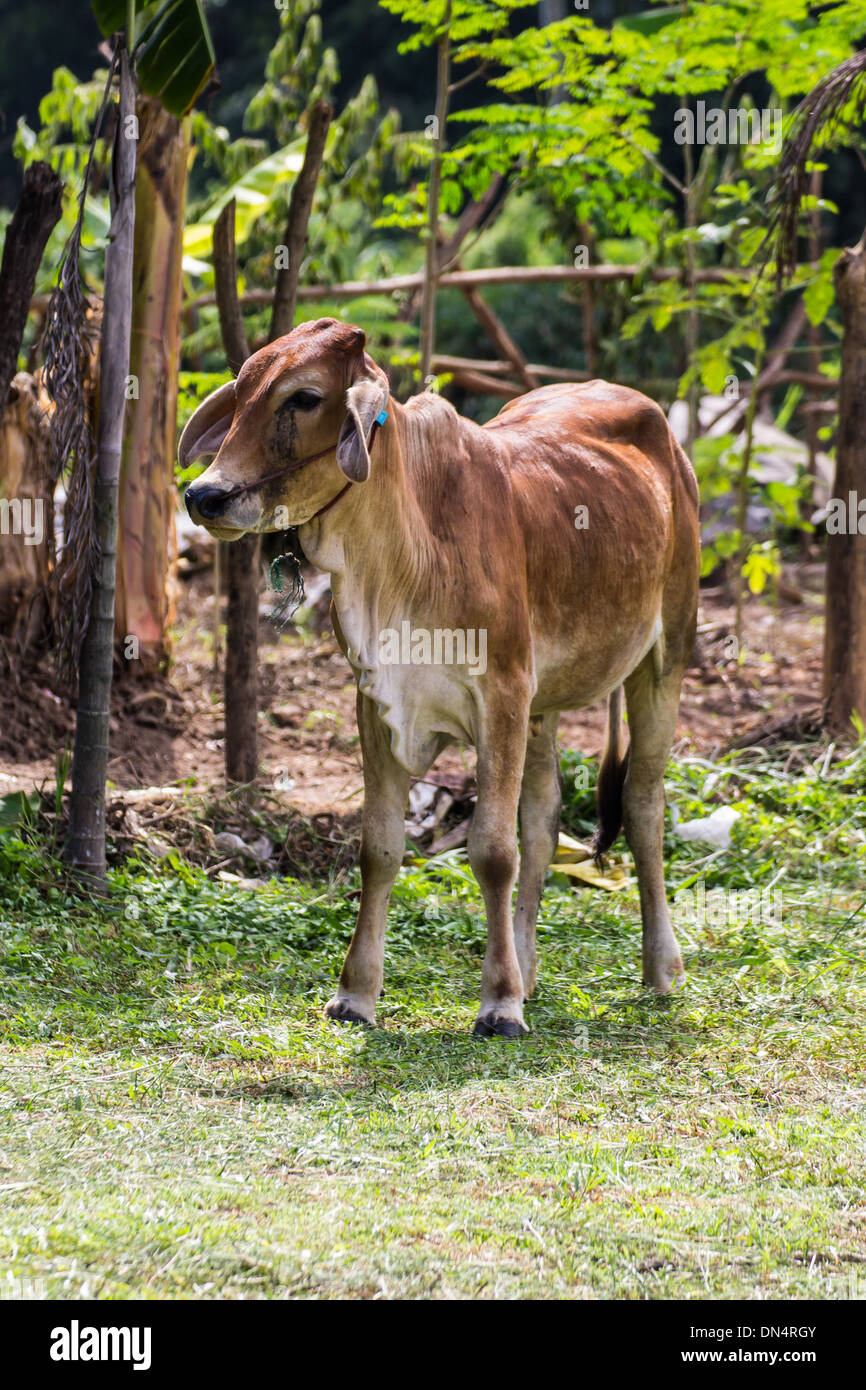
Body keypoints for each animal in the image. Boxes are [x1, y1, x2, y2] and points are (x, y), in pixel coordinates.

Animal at [180, 315, 697, 1034]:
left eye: (304, 397)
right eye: (244, 388)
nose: (205, 494)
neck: (404, 557)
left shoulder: (501, 695)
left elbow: (492, 852)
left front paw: (499, 1003)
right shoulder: (379, 704)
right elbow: (380, 848)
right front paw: (357, 993)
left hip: (664, 657)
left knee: (643, 807)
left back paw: (660, 967)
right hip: (543, 707)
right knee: (543, 822)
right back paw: (529, 968)